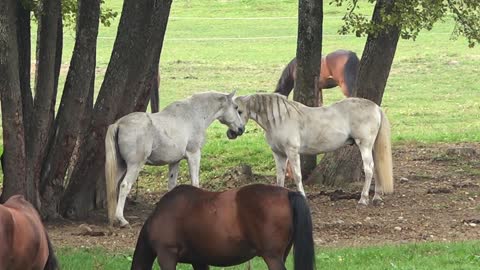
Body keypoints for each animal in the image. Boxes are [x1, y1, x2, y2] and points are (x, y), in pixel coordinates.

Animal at [107, 90, 246, 226]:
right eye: (236, 107)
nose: (241, 129)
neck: (193, 115)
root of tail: (119, 124)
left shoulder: (174, 162)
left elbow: (171, 186)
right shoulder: (194, 155)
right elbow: (195, 182)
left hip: (121, 166)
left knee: (115, 186)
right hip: (134, 165)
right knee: (124, 185)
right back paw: (122, 220)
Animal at [229, 94, 394, 206]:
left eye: (239, 111)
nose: (232, 133)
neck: (280, 119)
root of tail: (376, 107)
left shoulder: (292, 152)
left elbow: (297, 176)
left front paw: (303, 196)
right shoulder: (279, 154)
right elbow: (280, 177)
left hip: (364, 145)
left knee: (369, 169)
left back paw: (363, 199)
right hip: (371, 146)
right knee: (377, 168)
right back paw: (376, 197)